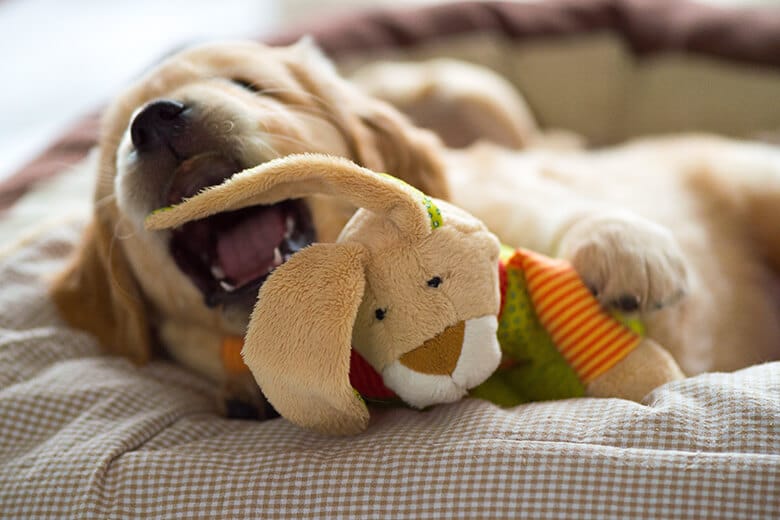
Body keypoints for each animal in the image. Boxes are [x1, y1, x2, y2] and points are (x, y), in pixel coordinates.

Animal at [51, 39, 776, 414]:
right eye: (115, 147)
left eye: (253, 87)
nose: (153, 120)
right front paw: (250, 391)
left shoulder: (518, 193)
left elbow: (573, 208)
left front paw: (628, 254)